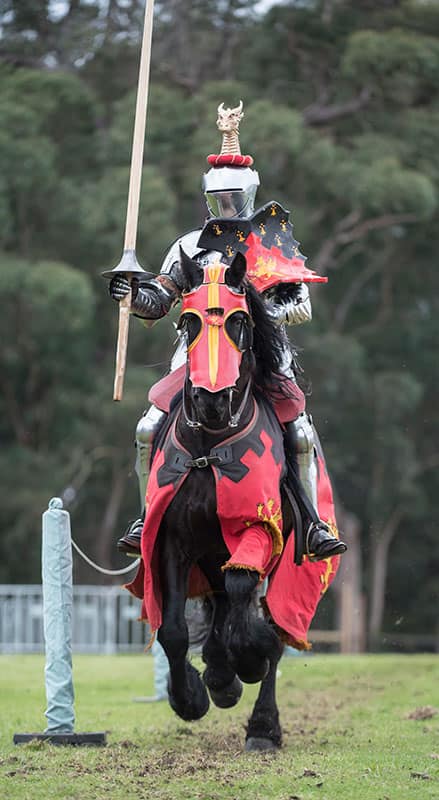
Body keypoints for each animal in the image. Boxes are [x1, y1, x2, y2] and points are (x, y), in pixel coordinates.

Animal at [127, 248, 340, 752]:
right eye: (188, 322)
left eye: (240, 321)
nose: (212, 401)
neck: (209, 443)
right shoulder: (171, 541)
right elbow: (173, 630)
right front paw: (190, 697)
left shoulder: (261, 530)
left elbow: (247, 599)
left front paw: (249, 657)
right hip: (208, 555)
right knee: (220, 607)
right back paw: (219, 677)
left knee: (261, 617)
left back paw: (261, 722)